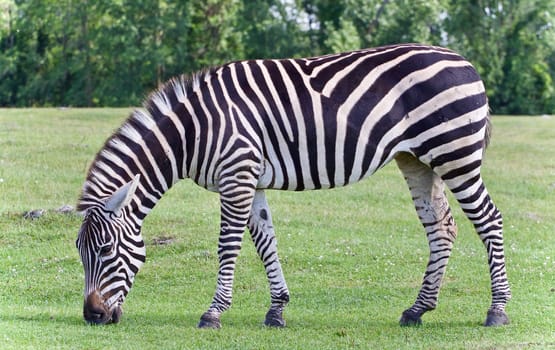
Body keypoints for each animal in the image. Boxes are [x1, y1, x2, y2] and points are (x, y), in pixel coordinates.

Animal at [75, 43, 512, 328]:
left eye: (106, 249)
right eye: (80, 252)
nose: (93, 316)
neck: (193, 131)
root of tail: (465, 61)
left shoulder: (237, 174)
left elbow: (228, 245)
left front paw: (213, 313)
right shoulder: (250, 179)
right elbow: (265, 241)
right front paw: (276, 310)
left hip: (456, 155)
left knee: (489, 220)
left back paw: (497, 311)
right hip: (418, 160)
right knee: (443, 228)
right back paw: (417, 310)